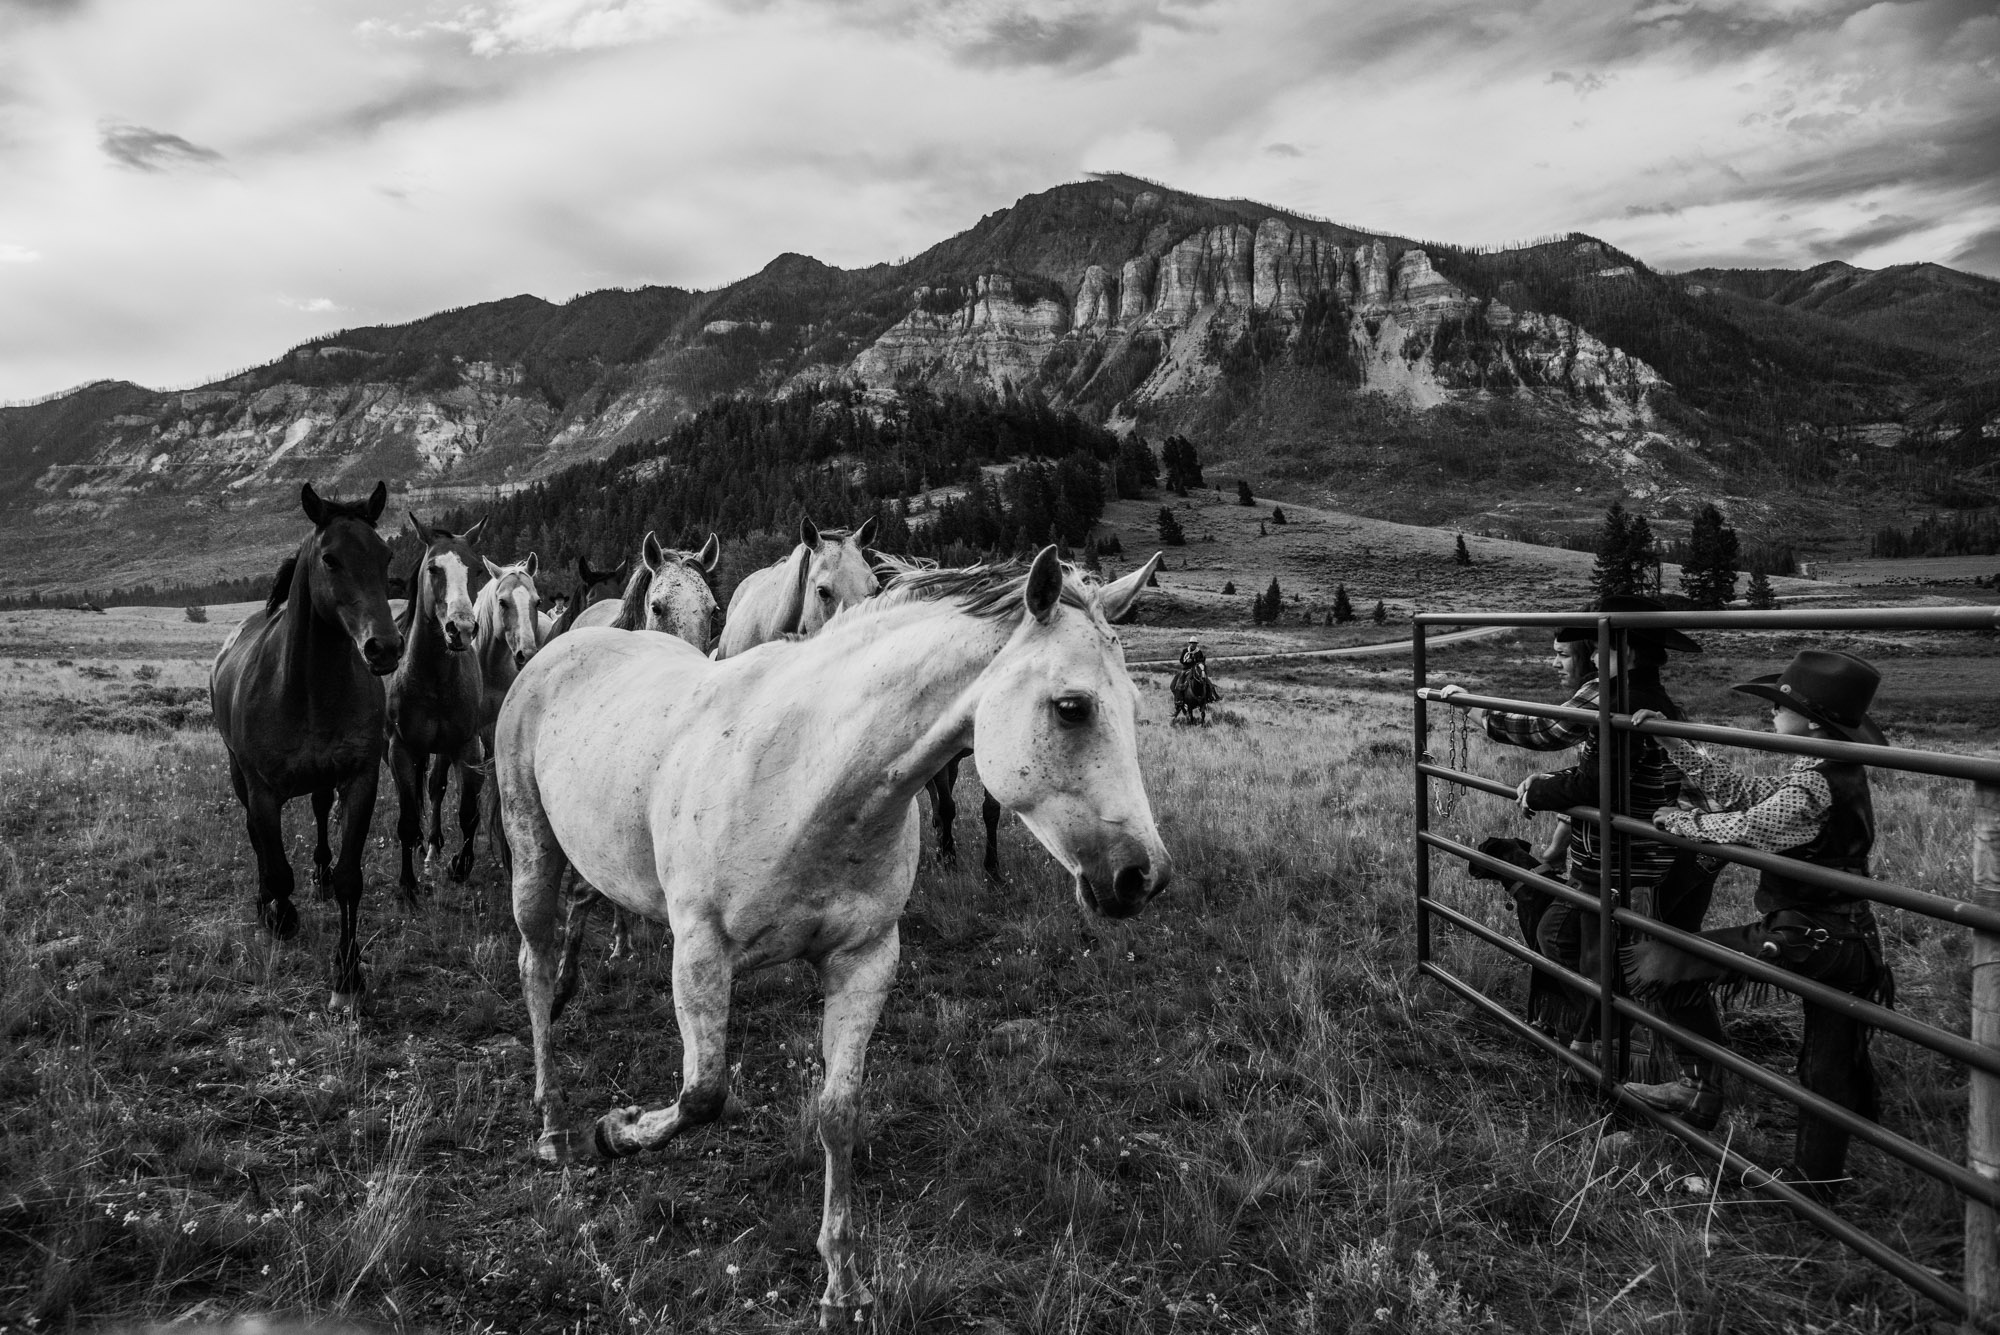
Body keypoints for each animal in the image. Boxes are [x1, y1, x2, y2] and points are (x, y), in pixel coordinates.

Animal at [211, 485, 402, 1007]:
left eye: (386, 555)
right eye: (329, 558)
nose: (384, 647)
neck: (307, 689)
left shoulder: (359, 779)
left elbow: (350, 878)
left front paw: (348, 976)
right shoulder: (262, 791)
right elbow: (276, 868)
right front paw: (280, 915)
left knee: (318, 812)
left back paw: (318, 874)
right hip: (238, 774)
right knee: (255, 837)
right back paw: (268, 902)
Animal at [388, 515, 490, 903]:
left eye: (477, 569)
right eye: (433, 568)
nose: (460, 629)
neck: (432, 679)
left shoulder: (466, 745)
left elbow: (468, 813)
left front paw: (459, 866)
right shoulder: (401, 748)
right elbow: (405, 818)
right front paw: (407, 885)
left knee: (434, 787)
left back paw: (431, 847)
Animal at [498, 543, 1168, 1311]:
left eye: (1133, 707)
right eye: (1072, 707)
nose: (1142, 875)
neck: (808, 776)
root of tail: (558, 648)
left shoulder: (865, 958)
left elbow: (839, 1111)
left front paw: (842, 1279)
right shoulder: (700, 952)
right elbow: (702, 1094)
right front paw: (615, 1130)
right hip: (531, 850)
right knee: (534, 968)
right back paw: (555, 1124)